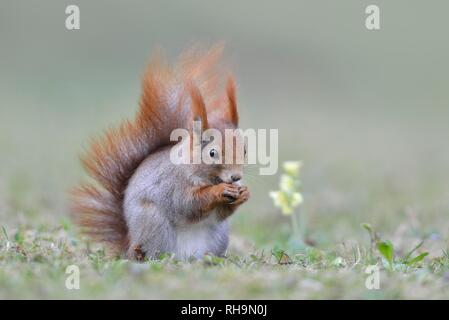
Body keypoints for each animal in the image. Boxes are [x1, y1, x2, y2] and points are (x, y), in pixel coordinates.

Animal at [72, 45, 250, 260]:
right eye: (212, 153)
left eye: (245, 149)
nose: (236, 177)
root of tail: (130, 244)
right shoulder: (172, 185)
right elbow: (188, 204)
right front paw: (219, 191)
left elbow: (222, 213)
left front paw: (244, 193)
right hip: (153, 222)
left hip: (220, 234)